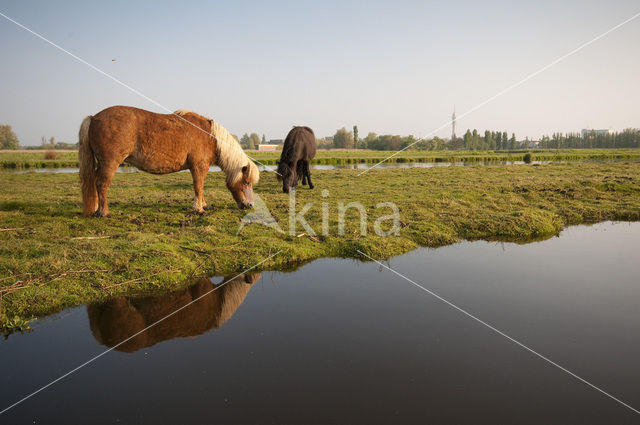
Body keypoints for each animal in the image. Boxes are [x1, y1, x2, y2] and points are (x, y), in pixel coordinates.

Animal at [79, 106, 258, 215]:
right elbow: (198, 187)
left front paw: (203, 204)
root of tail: (93, 118)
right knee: (102, 184)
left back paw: (96, 208)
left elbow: (200, 187)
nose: (249, 205)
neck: (211, 137)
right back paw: (103, 212)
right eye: (246, 182)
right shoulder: (198, 167)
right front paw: (199, 209)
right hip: (110, 163)